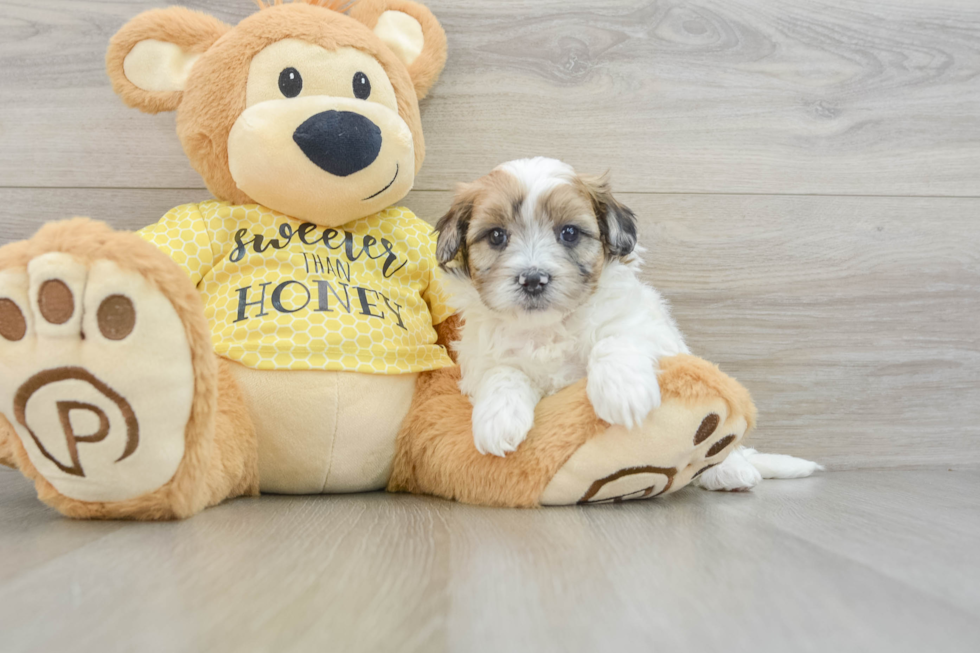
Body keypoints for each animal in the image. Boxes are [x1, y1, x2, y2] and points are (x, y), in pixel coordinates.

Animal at [436, 160, 820, 492]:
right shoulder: (481, 358)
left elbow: (615, 339)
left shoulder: (647, 328)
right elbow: (502, 372)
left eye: (569, 233)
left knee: (727, 448)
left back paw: (731, 469)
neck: (548, 328)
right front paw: (498, 419)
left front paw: (623, 394)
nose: (533, 279)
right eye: (496, 236)